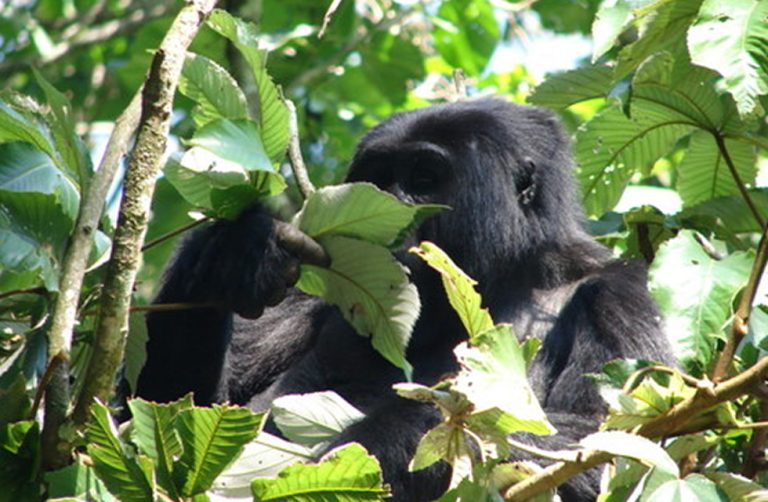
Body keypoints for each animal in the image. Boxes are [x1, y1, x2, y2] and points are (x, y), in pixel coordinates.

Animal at [136, 99, 672, 502]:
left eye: (424, 176)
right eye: (378, 176)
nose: (384, 209)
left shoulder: (620, 297)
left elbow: (614, 450)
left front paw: (378, 444)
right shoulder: (314, 279)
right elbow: (166, 412)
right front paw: (228, 253)